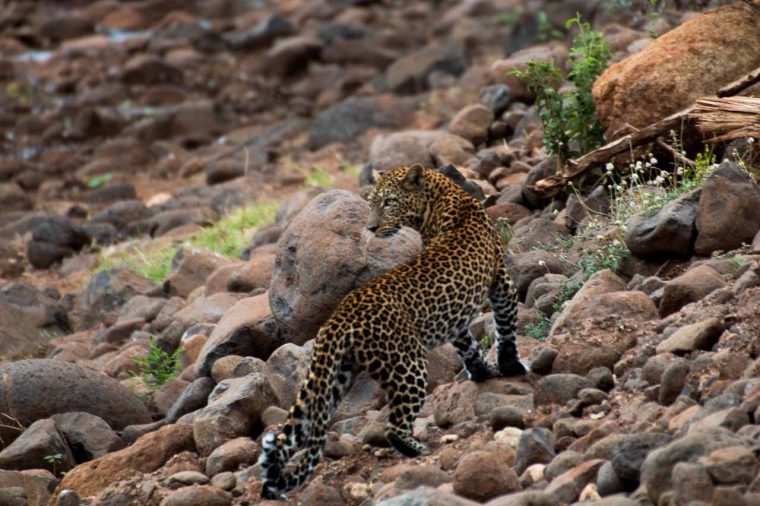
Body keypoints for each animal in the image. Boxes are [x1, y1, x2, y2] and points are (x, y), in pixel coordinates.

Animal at [258, 164, 527, 500]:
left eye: (387, 202)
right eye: (373, 202)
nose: (371, 228)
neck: (442, 196)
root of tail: (338, 320)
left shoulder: (461, 316)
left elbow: (467, 344)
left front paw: (483, 372)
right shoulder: (501, 281)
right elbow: (505, 328)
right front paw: (512, 366)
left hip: (334, 376)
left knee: (294, 432)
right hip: (409, 364)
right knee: (394, 426)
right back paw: (418, 449)